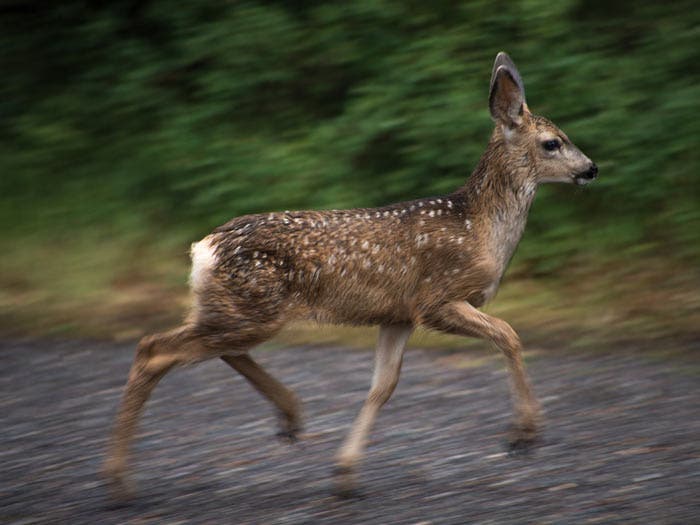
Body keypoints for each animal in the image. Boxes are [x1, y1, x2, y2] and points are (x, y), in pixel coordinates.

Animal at [104, 52, 597, 499]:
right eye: (553, 142)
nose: (591, 169)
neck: (480, 227)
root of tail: (202, 249)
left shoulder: (397, 316)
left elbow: (383, 387)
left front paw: (344, 473)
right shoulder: (435, 299)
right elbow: (508, 334)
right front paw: (524, 434)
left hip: (236, 307)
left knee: (205, 348)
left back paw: (290, 417)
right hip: (253, 305)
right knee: (155, 350)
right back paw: (120, 481)